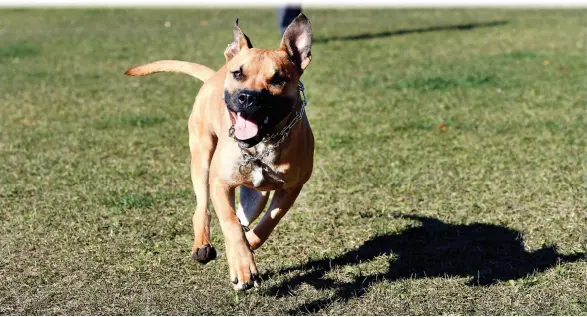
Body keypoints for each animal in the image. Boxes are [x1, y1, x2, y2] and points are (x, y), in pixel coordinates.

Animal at [126, 14, 314, 290]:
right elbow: (230, 222)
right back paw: (203, 245)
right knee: (203, 208)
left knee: (246, 215)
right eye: (238, 73)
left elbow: (268, 222)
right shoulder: (220, 182)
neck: (261, 145)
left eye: (278, 79)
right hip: (202, 158)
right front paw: (243, 266)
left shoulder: (291, 188)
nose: (247, 97)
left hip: (254, 195)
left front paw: (247, 250)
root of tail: (213, 75)